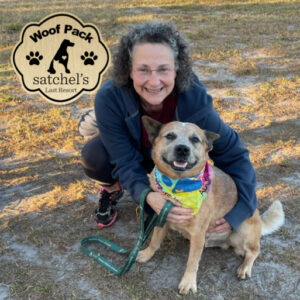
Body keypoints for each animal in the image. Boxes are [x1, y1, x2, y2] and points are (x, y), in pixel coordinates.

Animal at [137, 116, 284, 294]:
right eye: (170, 136)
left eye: (195, 139)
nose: (182, 149)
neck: (178, 185)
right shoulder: (161, 217)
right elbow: (154, 241)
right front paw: (147, 254)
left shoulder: (198, 233)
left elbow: (192, 262)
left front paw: (188, 282)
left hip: (244, 228)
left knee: (254, 251)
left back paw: (245, 268)